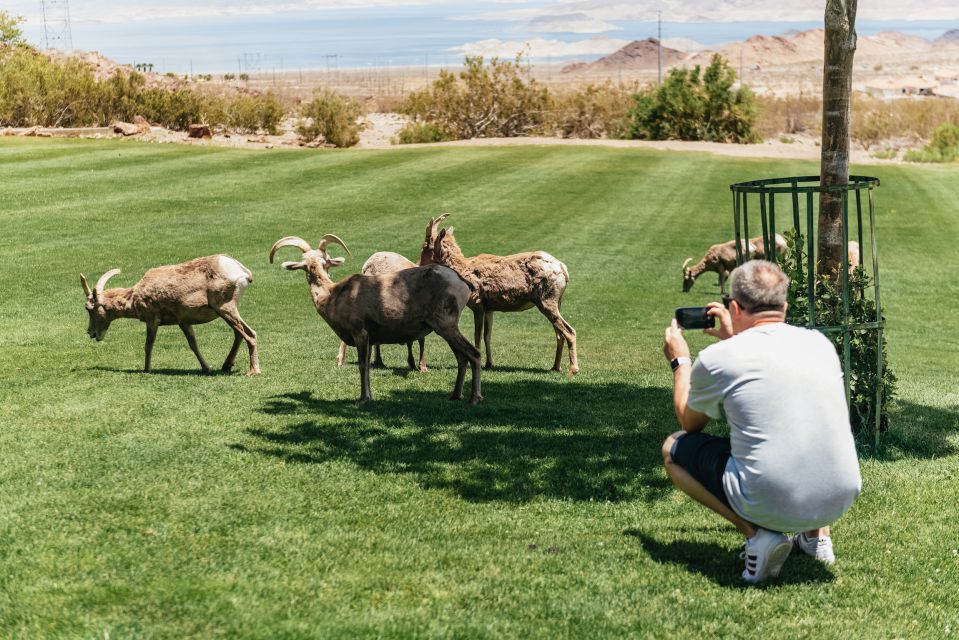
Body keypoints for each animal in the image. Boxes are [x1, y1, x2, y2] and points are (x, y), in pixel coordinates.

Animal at [79, 255, 258, 376]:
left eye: (88, 308)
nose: (91, 333)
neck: (135, 296)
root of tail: (243, 272)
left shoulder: (152, 320)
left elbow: (148, 345)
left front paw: (147, 370)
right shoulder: (183, 322)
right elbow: (193, 344)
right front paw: (207, 368)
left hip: (225, 308)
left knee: (250, 334)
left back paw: (253, 371)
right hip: (229, 310)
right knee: (239, 333)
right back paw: (226, 366)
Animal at [268, 232, 480, 402]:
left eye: (324, 261)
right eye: (307, 264)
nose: (314, 267)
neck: (332, 295)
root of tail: (461, 282)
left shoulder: (360, 333)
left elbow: (363, 366)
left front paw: (363, 398)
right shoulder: (370, 338)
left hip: (446, 325)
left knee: (474, 354)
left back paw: (475, 399)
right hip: (446, 328)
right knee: (462, 358)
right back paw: (455, 396)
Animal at [334, 212, 450, 370]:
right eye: (425, 245)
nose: (444, 260)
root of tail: (367, 263)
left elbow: (420, 338)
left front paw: (420, 366)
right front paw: (415, 364)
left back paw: (378, 361)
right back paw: (342, 360)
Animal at [434, 220, 580, 372]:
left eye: (430, 243)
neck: (463, 270)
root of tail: (563, 269)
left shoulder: (478, 304)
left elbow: (477, 336)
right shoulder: (489, 308)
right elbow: (487, 336)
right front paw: (489, 364)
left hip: (546, 299)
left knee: (569, 331)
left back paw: (573, 369)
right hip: (557, 301)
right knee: (559, 334)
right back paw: (556, 367)